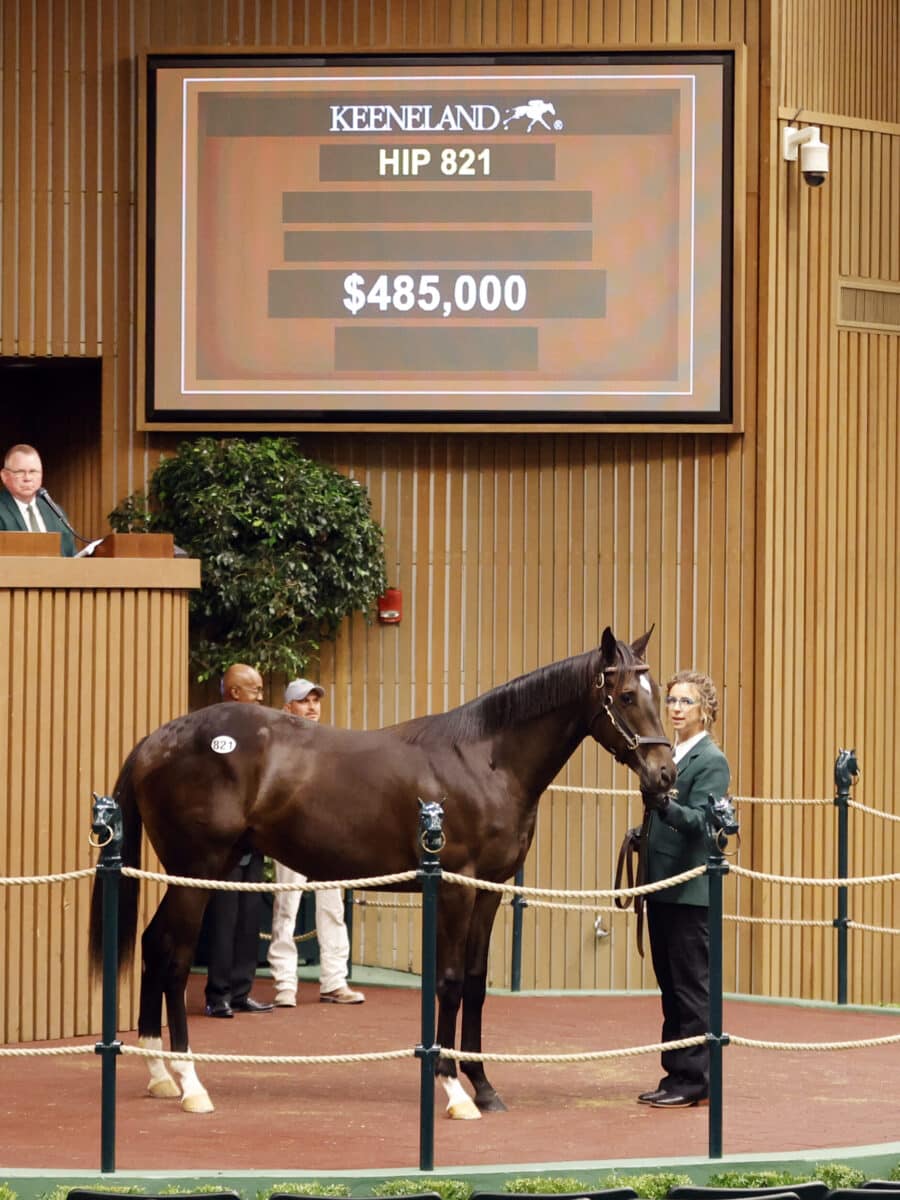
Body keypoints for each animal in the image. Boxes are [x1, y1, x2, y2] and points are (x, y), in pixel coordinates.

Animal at [90, 628, 676, 1113]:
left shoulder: (490, 890)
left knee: (153, 945)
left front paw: (485, 1087)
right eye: (626, 696)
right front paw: (453, 1091)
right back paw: (191, 1083)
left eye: (658, 695)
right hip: (198, 870)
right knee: (173, 955)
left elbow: (477, 984)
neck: (485, 759)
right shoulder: (457, 890)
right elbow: (449, 981)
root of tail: (157, 740)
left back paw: (159, 1073)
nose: (664, 774)